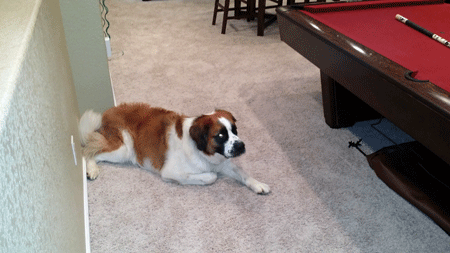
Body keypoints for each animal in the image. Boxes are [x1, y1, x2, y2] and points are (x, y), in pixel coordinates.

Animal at [78, 102, 268, 194]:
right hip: (122, 150)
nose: (241, 146)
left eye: (235, 130)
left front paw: (258, 184)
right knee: (89, 150)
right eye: (220, 136)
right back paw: (92, 169)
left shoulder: (224, 163)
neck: (203, 152)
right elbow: (211, 177)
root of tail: (107, 113)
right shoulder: (170, 171)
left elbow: (242, 173)